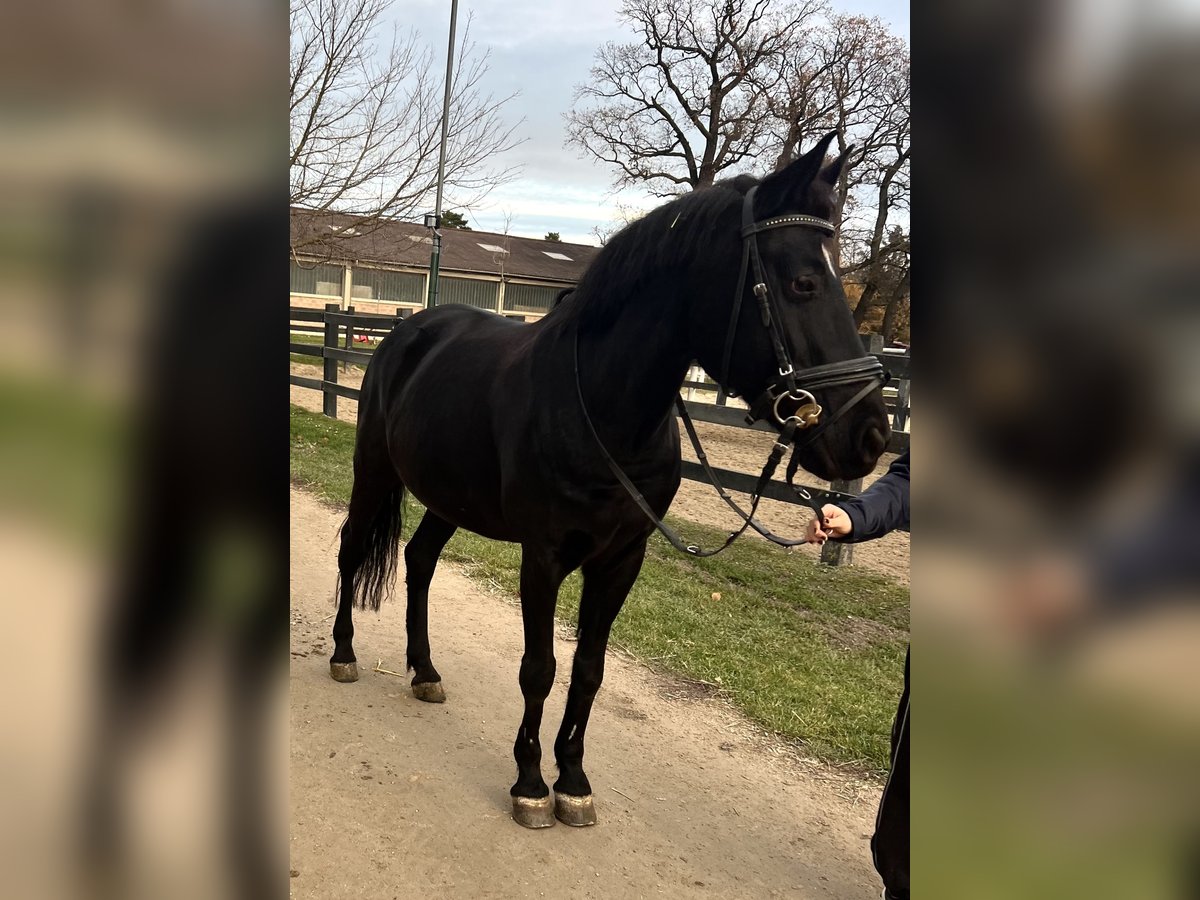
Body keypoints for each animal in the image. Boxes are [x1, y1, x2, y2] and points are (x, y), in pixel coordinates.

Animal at [328, 133, 892, 830]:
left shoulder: (622, 559)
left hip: (450, 499)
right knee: (353, 549)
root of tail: (407, 330)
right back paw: (344, 654)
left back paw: (425, 670)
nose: (870, 435)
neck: (603, 409)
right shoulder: (543, 556)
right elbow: (539, 668)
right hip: (374, 471)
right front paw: (530, 783)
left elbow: (589, 671)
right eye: (803, 283)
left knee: (420, 560)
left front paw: (572, 779)